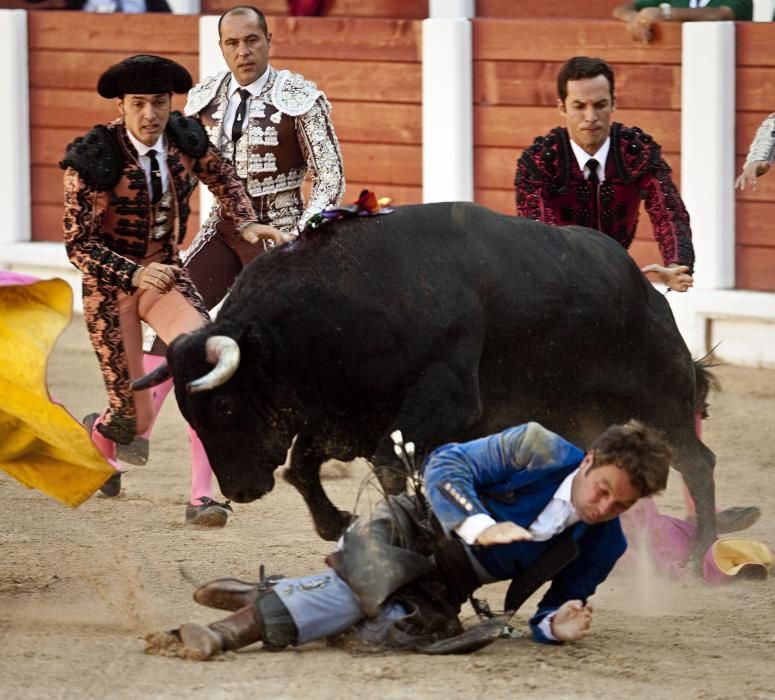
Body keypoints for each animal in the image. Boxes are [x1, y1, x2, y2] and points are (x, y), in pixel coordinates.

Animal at [150, 202, 716, 552]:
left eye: (224, 406)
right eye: (192, 416)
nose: (239, 489)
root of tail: (647, 291)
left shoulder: (443, 404)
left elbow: (385, 465)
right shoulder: (337, 416)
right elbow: (301, 469)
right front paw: (337, 523)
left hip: (660, 406)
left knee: (698, 462)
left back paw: (698, 557)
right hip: (580, 418)